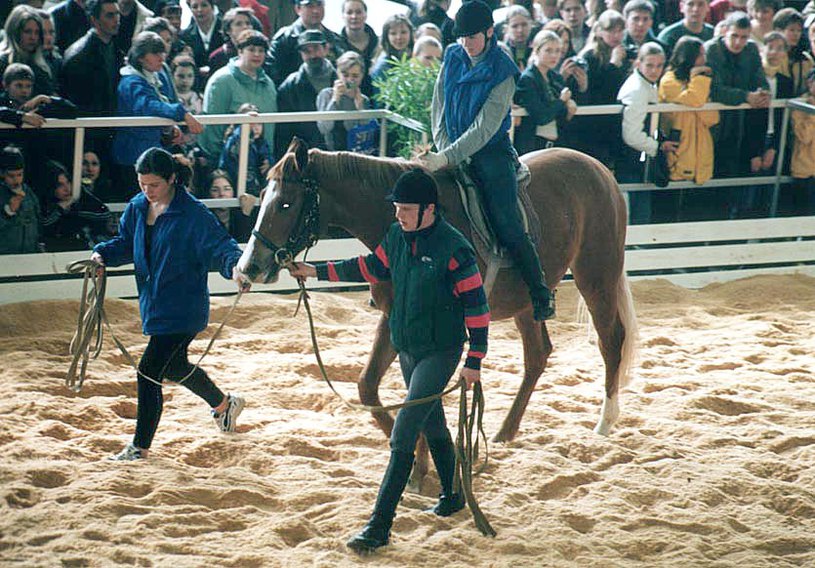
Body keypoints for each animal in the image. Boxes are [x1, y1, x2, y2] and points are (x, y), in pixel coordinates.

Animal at [239, 136, 640, 480]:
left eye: (286, 203)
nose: (249, 266)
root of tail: (598, 169)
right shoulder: (394, 319)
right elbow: (369, 386)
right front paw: (416, 460)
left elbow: (420, 394)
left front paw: (420, 462)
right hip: (527, 303)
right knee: (538, 355)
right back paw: (505, 433)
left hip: (597, 276)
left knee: (611, 341)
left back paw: (605, 422)